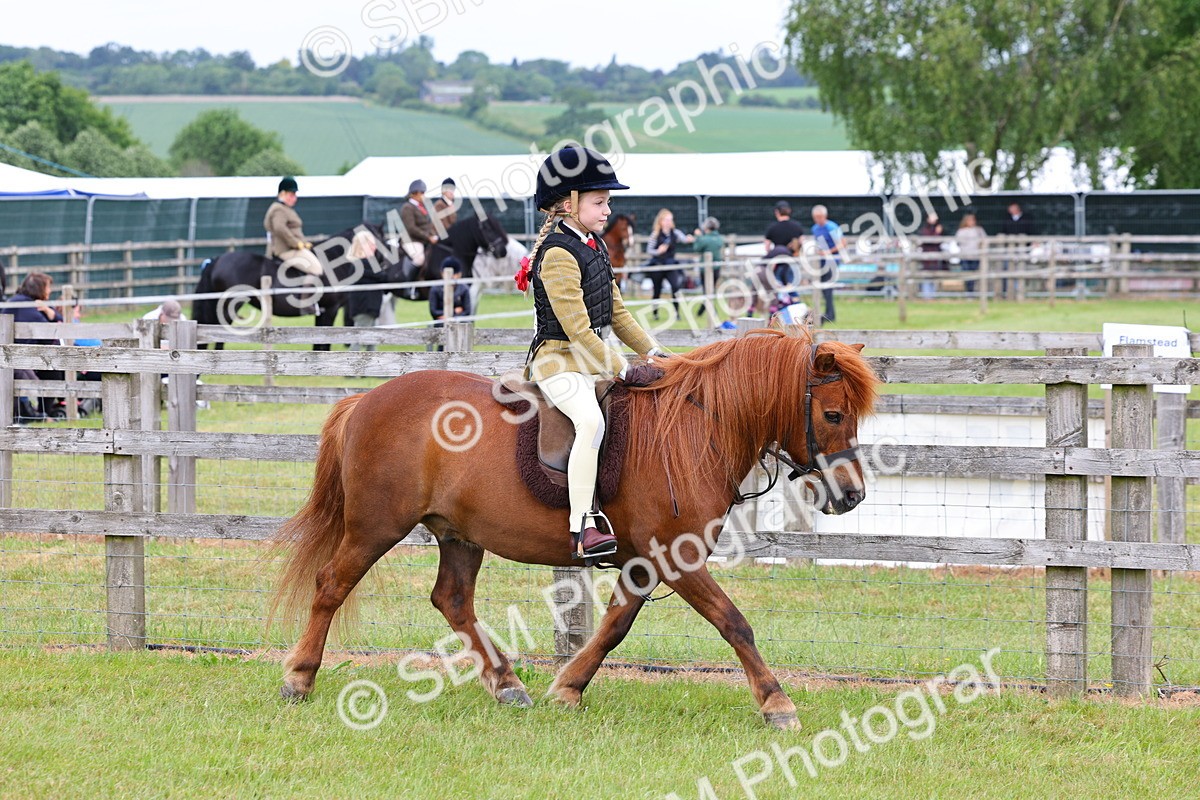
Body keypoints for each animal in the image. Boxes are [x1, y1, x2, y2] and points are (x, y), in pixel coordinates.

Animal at [191, 222, 405, 351]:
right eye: (382, 239)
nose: (388, 264)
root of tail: (217, 260)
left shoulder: (323, 311)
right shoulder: (331, 309)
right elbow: (325, 341)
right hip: (228, 306)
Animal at [272, 327, 879, 728]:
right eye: (831, 415)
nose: (852, 496)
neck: (695, 429)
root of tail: (366, 398)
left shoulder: (643, 564)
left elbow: (613, 627)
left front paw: (567, 688)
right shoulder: (676, 559)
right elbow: (735, 624)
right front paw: (777, 703)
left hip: (459, 535)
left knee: (453, 600)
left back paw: (508, 684)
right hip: (375, 527)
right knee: (331, 586)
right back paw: (299, 678)